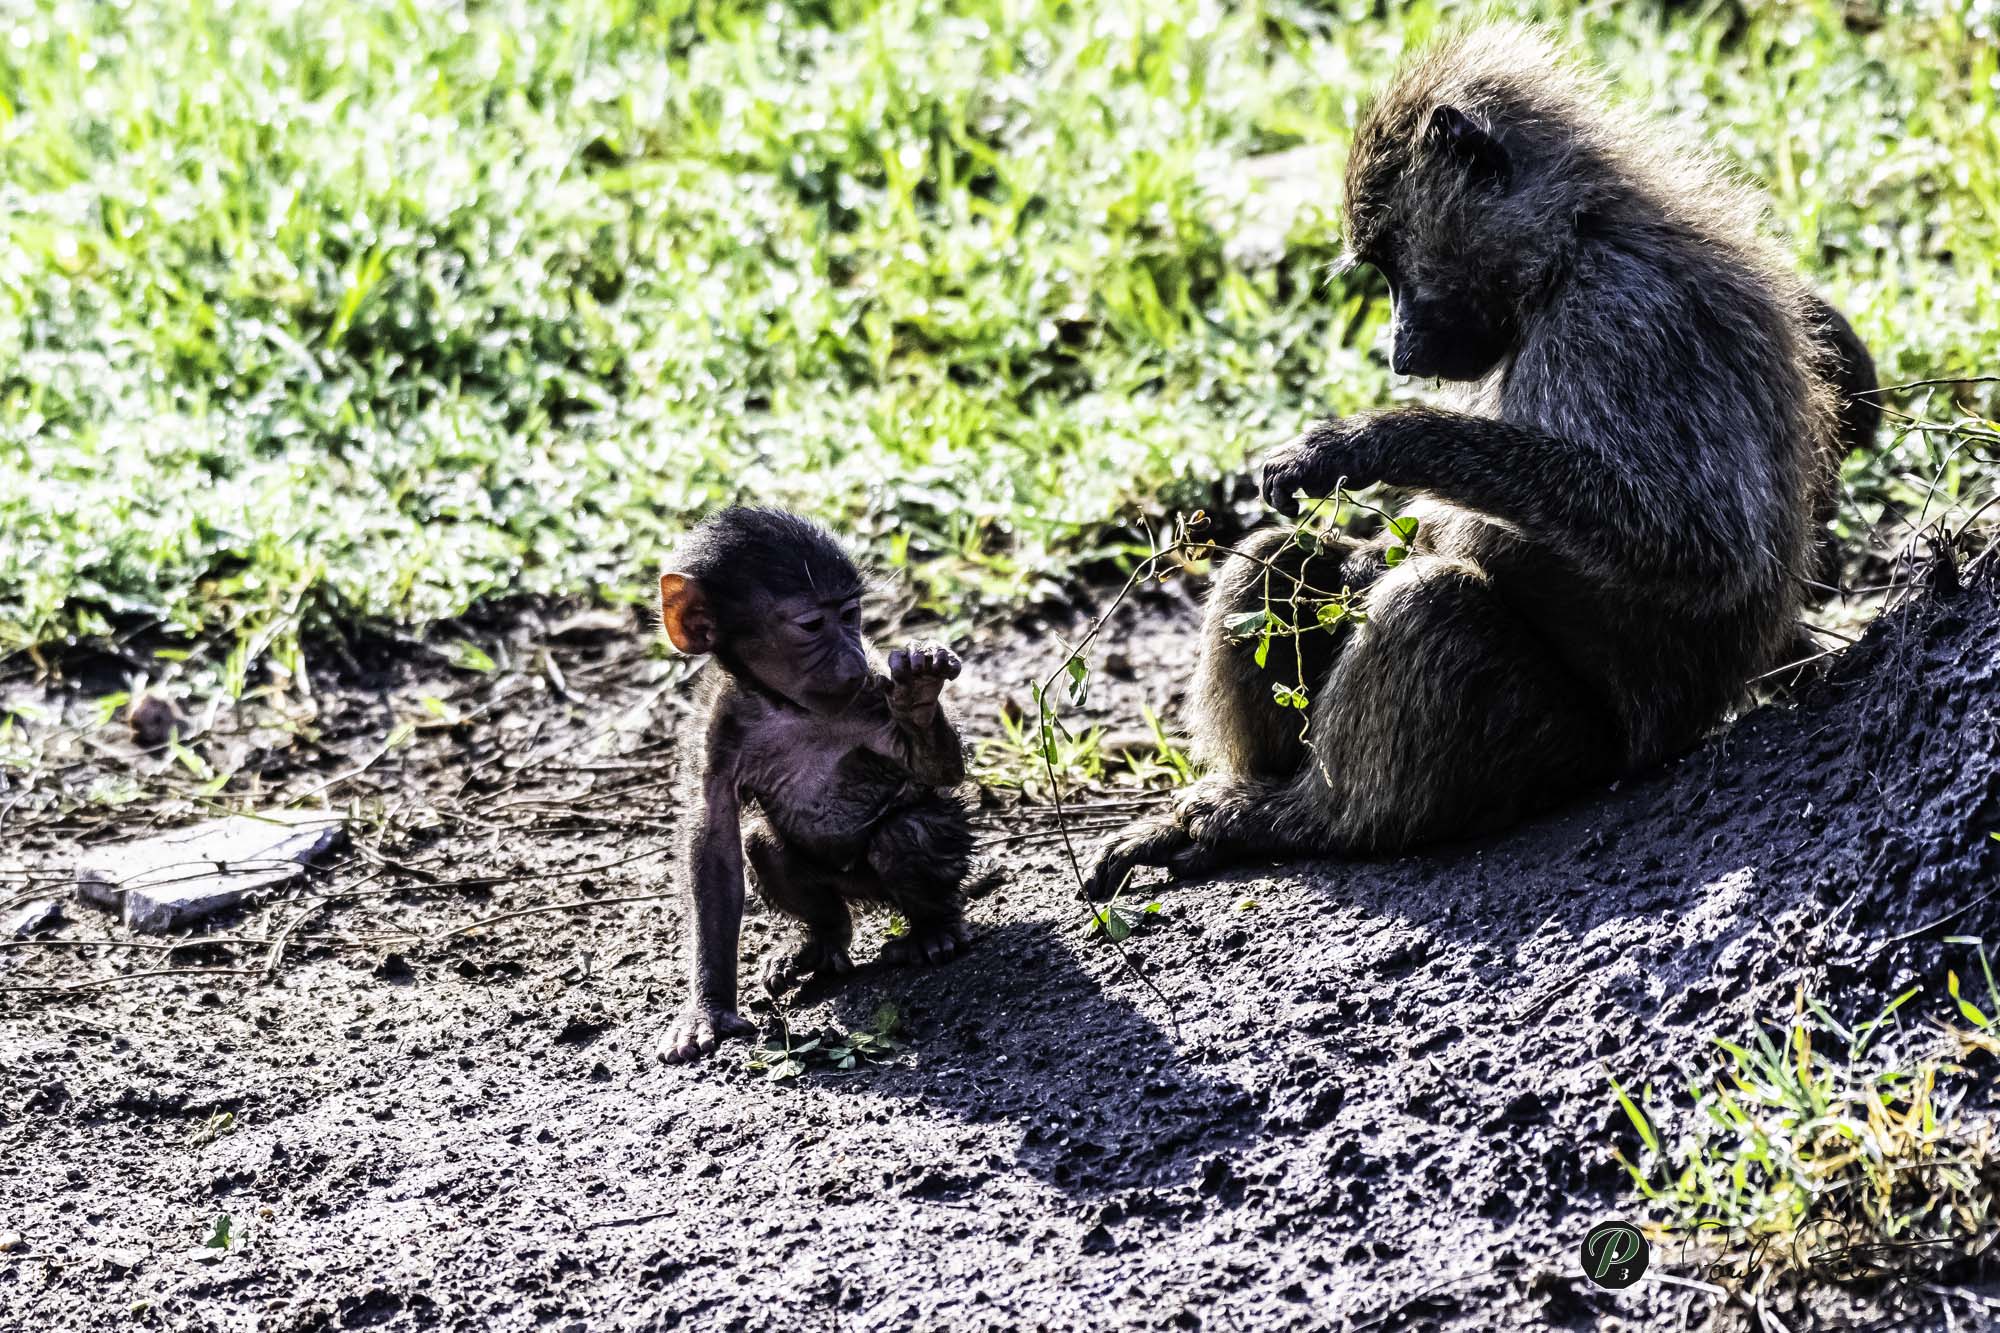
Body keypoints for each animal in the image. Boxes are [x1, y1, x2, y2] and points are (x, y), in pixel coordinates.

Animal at [655, 507, 977, 1063]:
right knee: (762, 845)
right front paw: (707, 1009)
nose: (850, 657)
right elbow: (714, 845)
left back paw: (932, 932)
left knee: (907, 835)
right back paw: (822, 942)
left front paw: (919, 694)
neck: (788, 707)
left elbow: (937, 771)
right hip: (837, 885)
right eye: (811, 625)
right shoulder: (720, 726)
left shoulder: (871, 690)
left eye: (850, 616)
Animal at [1086, 23, 1858, 896]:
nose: (1395, 352)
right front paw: (1366, 544)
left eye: (1392, 263)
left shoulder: (1622, 319)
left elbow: (1699, 544)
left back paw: (1293, 818)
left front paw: (1374, 440)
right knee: (1278, 559)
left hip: (1578, 746)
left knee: (1436, 609)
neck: (1571, 245)